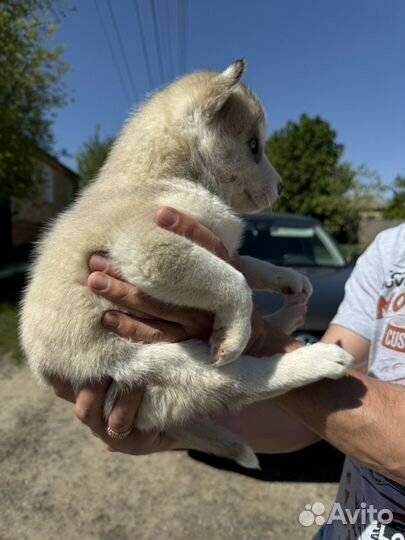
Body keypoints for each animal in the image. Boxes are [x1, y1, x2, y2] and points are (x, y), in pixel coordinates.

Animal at [19, 60, 350, 468]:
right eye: (254, 146)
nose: (283, 186)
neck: (166, 174)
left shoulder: (214, 242)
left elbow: (246, 264)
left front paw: (289, 277)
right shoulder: (149, 248)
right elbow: (233, 281)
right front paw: (235, 333)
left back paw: (291, 315)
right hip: (155, 363)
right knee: (242, 381)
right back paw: (318, 358)